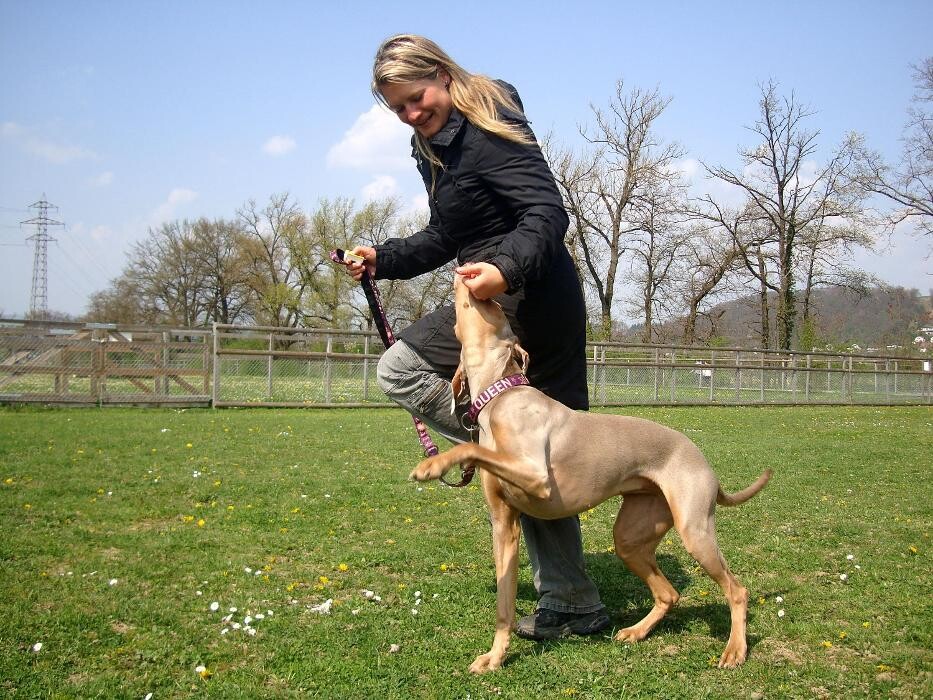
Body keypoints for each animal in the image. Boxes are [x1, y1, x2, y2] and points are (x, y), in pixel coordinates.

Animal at [410, 276, 772, 676]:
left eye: (493, 308)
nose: (469, 275)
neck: (500, 397)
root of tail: (703, 461)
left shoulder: (536, 475)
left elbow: (472, 450)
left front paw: (433, 465)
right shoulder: (504, 527)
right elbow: (504, 606)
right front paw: (496, 656)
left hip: (695, 532)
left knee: (737, 590)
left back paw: (735, 650)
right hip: (630, 537)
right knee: (669, 593)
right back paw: (636, 631)